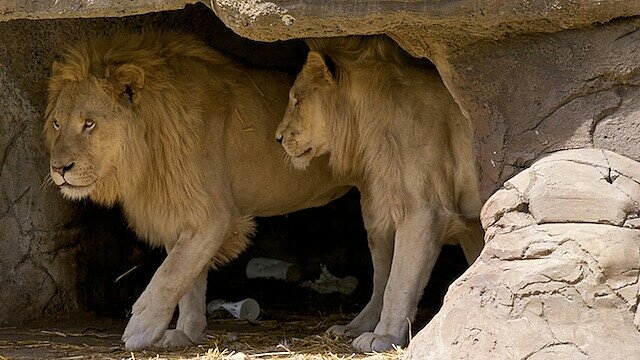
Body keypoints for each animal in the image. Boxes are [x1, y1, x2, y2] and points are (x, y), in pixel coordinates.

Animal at [44, 32, 350, 350]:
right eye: (57, 123)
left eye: (89, 124)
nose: (59, 168)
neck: (148, 150)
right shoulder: (180, 213)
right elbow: (189, 281)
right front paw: (186, 333)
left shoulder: (214, 215)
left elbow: (170, 273)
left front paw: (141, 328)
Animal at [276, 36, 484, 352]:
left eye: (297, 100)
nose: (278, 137)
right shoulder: (383, 209)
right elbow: (382, 277)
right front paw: (355, 326)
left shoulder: (424, 210)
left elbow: (399, 281)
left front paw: (384, 336)